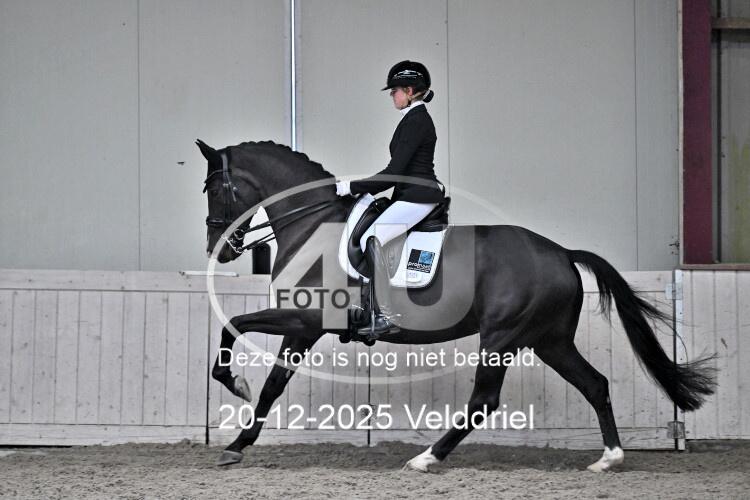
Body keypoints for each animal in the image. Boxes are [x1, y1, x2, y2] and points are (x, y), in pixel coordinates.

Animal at [197, 139, 715, 471]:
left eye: (215, 189)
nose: (218, 249)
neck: (314, 226)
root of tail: (561, 253)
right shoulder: (301, 328)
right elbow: (270, 385)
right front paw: (239, 442)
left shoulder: (304, 321)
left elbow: (235, 330)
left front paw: (234, 386)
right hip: (548, 340)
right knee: (594, 384)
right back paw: (609, 459)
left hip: (503, 337)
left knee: (484, 400)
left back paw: (426, 458)